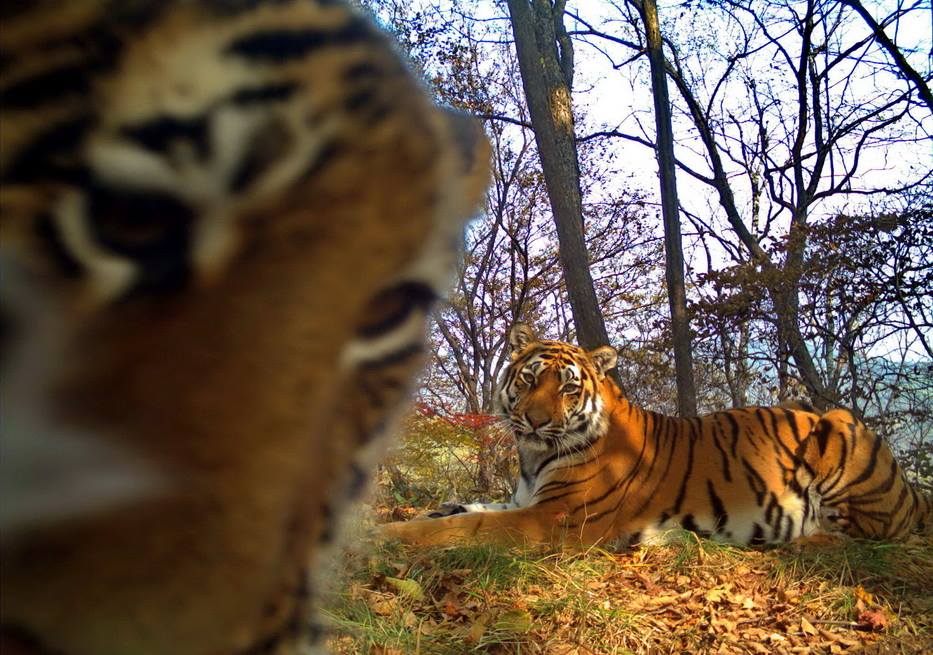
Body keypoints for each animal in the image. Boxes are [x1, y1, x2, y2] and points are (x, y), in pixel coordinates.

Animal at [380, 324, 932, 548]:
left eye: (568, 388)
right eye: (530, 379)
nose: (534, 421)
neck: (534, 458)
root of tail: (911, 488)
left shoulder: (553, 518)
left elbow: (467, 526)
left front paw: (390, 536)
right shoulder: (526, 500)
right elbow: (472, 507)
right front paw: (432, 511)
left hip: (838, 430)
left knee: (857, 534)